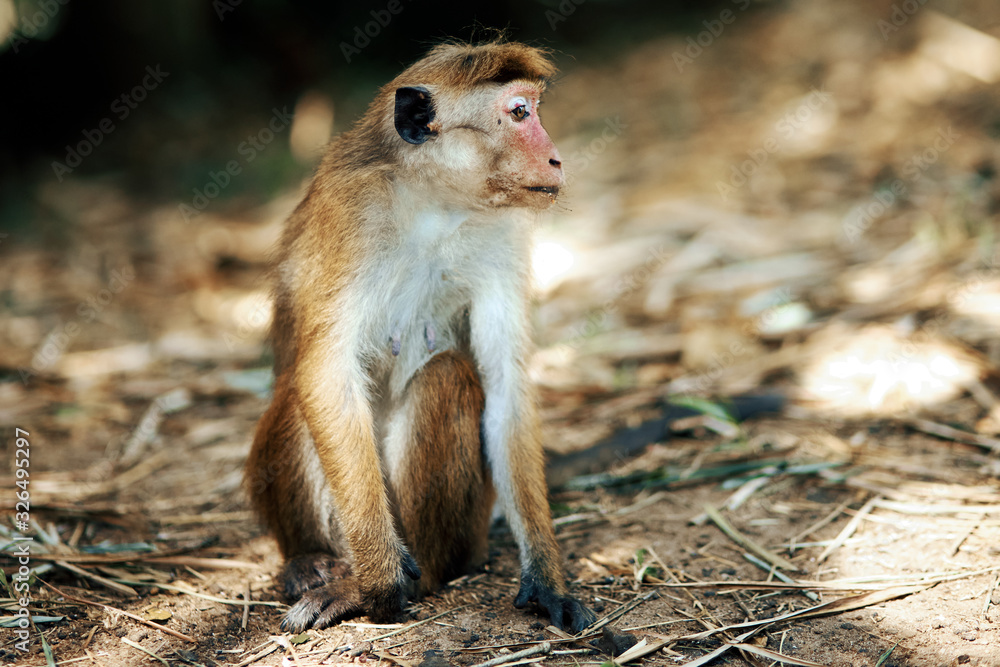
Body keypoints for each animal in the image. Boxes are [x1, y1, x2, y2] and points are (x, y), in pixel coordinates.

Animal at [244, 41, 596, 634]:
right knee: (298, 391)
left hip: (468, 527)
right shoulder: (351, 214)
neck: (434, 204)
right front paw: (380, 577)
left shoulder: (503, 231)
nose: (555, 159)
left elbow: (504, 384)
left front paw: (546, 576)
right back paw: (314, 562)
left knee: (446, 375)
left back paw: (422, 573)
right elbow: (326, 370)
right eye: (520, 113)